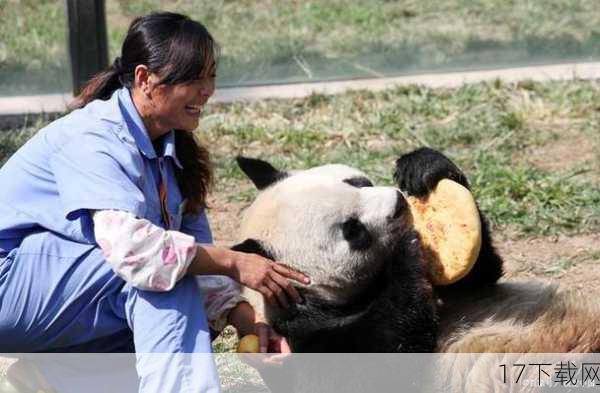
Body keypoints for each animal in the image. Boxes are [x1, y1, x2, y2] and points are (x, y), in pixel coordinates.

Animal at [232, 149, 600, 354]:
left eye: (357, 183)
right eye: (352, 230)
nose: (398, 201)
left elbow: (479, 278)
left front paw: (423, 166)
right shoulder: (301, 331)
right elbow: (382, 350)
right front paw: (405, 255)